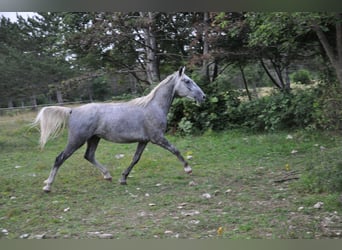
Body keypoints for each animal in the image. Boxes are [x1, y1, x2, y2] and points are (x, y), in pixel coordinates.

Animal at [34, 66, 206, 191]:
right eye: (187, 81)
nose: (203, 97)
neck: (153, 107)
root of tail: (72, 111)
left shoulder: (144, 141)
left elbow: (135, 159)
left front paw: (123, 178)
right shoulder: (157, 138)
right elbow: (175, 150)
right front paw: (188, 169)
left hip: (94, 138)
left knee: (89, 156)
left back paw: (108, 176)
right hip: (77, 140)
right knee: (60, 158)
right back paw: (48, 186)